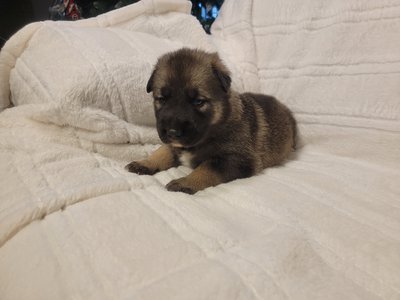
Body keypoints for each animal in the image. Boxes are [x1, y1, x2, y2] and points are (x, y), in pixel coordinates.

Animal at [126, 48, 296, 195]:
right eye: (162, 99)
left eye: (198, 101)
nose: (172, 132)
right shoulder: (174, 145)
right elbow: (162, 151)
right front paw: (145, 163)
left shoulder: (237, 159)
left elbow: (206, 169)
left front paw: (185, 182)